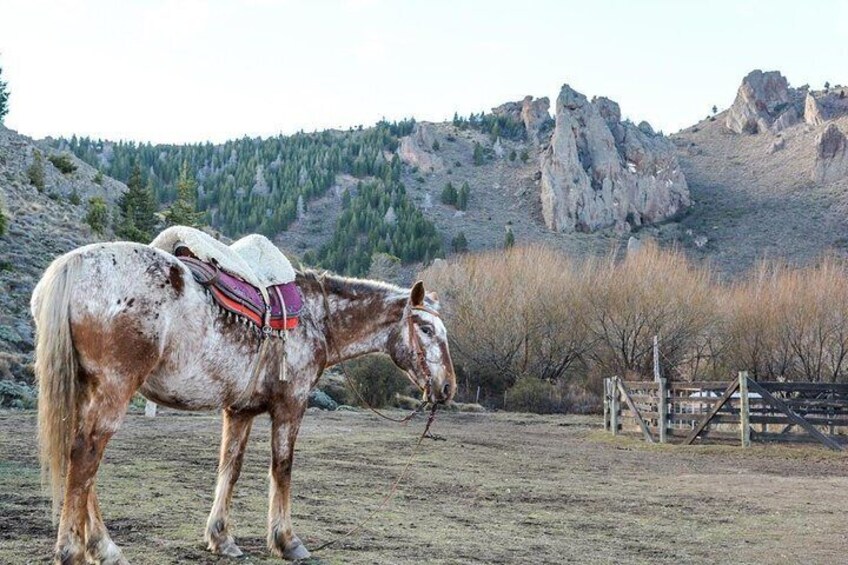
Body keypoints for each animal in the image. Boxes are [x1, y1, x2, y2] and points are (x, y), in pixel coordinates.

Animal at [31, 240, 458, 560]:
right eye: (425, 328)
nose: (448, 387)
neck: (316, 316)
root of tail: (73, 264)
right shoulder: (291, 405)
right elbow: (282, 468)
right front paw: (288, 541)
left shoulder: (240, 411)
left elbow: (229, 469)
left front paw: (222, 538)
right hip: (114, 389)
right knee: (85, 457)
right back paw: (73, 550)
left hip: (87, 390)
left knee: (81, 463)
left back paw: (102, 548)